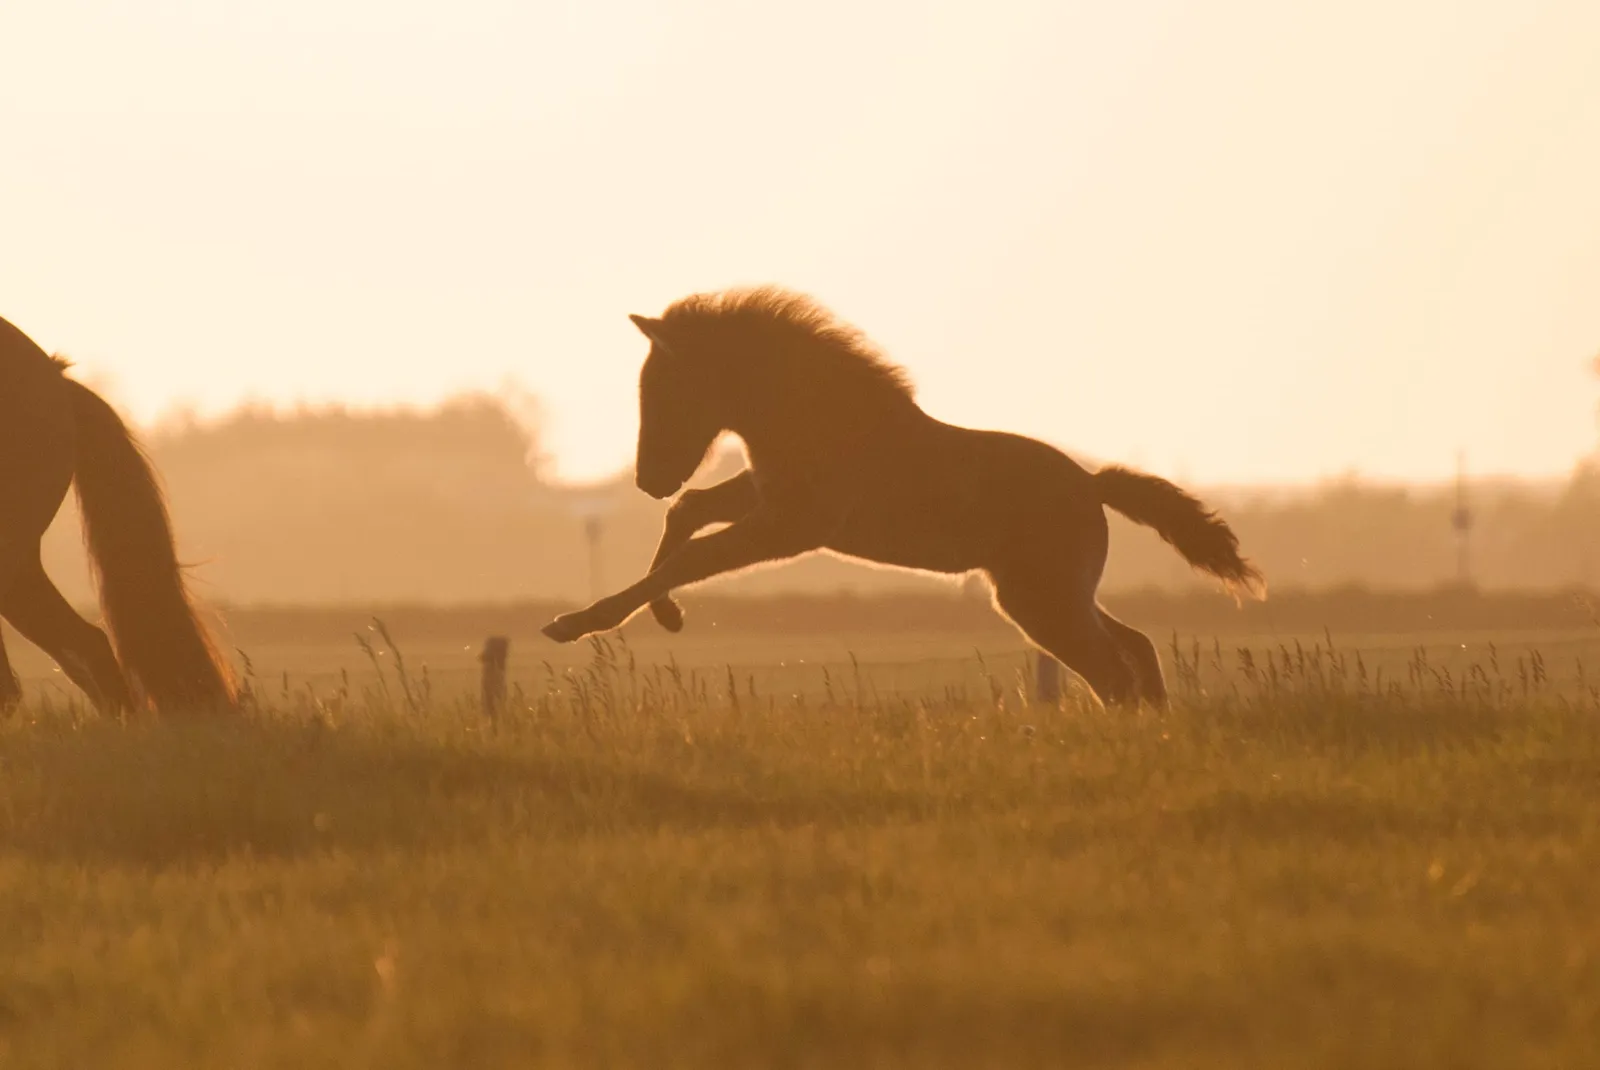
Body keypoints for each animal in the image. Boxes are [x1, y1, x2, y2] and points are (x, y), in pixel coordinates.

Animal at [541, 286, 1265, 709]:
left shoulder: (791, 526)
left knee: (1113, 671)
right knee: (1134, 650)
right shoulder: (767, 498)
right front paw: (668, 617)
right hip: (1048, 593)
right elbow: (688, 514)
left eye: (665, 389)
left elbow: (694, 554)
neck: (816, 416)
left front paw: (572, 624)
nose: (646, 477)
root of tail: (1091, 484)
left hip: (1042, 600)